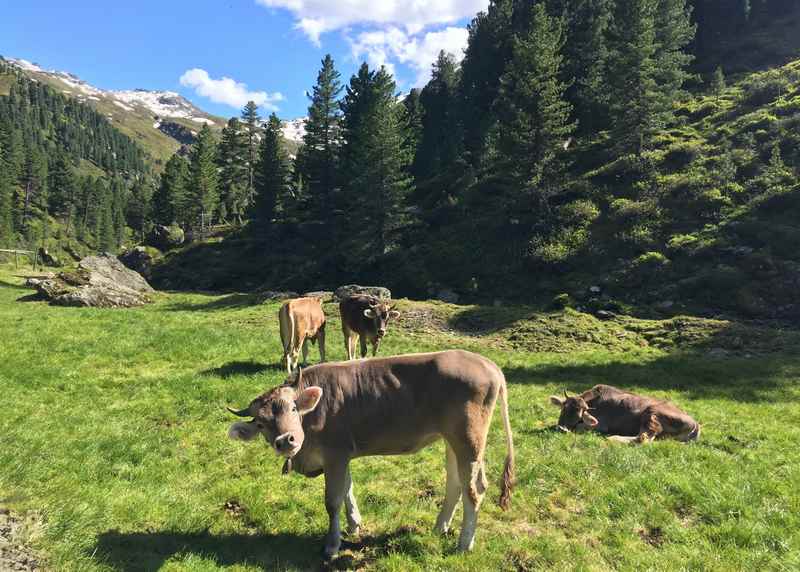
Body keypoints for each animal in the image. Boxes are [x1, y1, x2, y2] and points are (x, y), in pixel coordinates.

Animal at [227, 348, 512, 560]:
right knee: (455, 483)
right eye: (260, 423)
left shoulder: (335, 454)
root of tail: (487, 363)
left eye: (294, 408)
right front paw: (354, 524)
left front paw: (332, 545)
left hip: (469, 440)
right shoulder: (341, 456)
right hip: (451, 440)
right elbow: (348, 489)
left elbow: (333, 501)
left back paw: (464, 544)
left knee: (475, 488)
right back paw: (439, 527)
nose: (286, 440)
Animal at [552, 386, 700, 444]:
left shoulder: (601, 425)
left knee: (644, 438)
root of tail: (696, 423)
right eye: (563, 410)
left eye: (579, 416)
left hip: (652, 413)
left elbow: (579, 427)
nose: (562, 429)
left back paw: (613, 438)